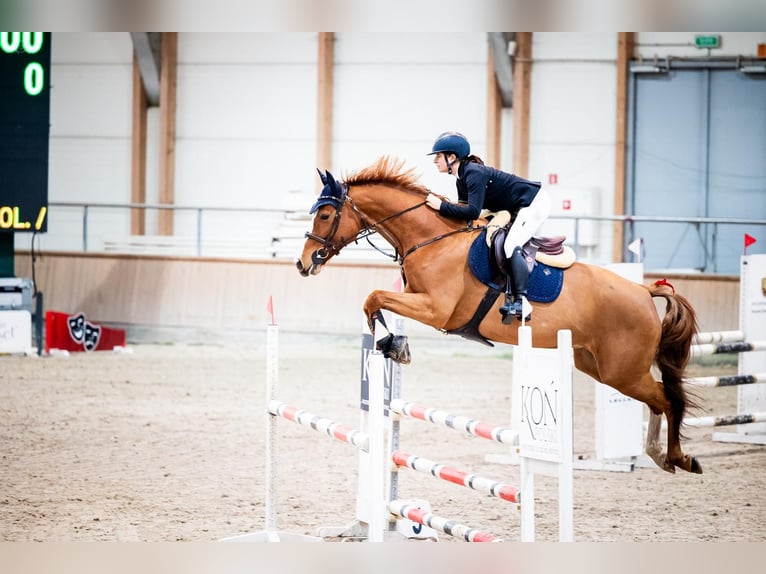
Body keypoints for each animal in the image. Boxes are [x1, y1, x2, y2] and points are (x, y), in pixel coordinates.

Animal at [296, 156, 704, 476]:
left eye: (326, 214)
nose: (303, 264)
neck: (431, 238)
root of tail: (644, 292)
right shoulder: (416, 298)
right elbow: (378, 301)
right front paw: (393, 343)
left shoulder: (436, 309)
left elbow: (373, 298)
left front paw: (391, 343)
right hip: (597, 365)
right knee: (658, 400)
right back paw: (660, 455)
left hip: (623, 370)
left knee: (668, 399)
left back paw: (679, 458)